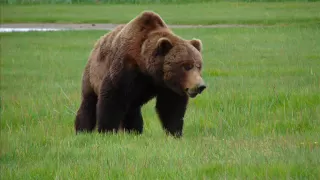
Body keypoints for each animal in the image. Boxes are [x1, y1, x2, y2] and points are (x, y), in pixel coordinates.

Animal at [74, 10, 205, 138]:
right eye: (186, 66)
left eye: (198, 66)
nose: (200, 86)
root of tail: (97, 44)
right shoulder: (125, 69)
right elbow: (112, 97)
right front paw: (107, 131)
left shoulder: (167, 85)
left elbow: (171, 106)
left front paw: (174, 133)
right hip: (92, 75)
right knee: (88, 102)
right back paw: (82, 130)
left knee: (132, 110)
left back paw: (134, 131)